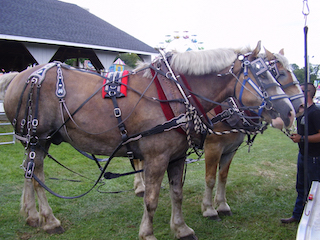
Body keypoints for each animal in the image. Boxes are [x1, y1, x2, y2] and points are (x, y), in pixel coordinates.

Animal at [2, 42, 294, 239]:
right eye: (265, 75)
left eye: (274, 73)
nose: (291, 111)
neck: (176, 91)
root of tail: (21, 76)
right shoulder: (157, 157)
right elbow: (152, 198)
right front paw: (148, 233)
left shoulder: (177, 156)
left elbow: (177, 193)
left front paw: (181, 228)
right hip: (38, 138)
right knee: (37, 177)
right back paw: (49, 219)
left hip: (35, 141)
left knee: (28, 172)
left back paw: (32, 216)